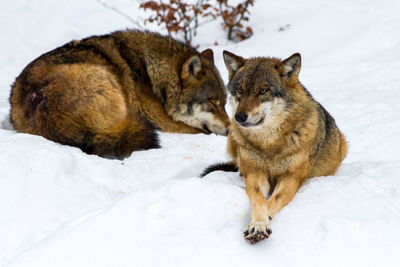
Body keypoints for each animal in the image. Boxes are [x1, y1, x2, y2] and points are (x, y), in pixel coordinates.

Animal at [10, 30, 228, 158]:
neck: (152, 73)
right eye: (212, 101)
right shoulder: (163, 120)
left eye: (225, 103)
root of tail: (37, 96)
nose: (229, 127)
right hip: (107, 81)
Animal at [202, 50, 348, 245]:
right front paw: (258, 222)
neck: (269, 143)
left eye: (262, 91)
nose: (239, 117)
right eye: (240, 91)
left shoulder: (291, 178)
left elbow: (272, 200)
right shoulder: (255, 173)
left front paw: (260, 225)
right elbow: (259, 199)